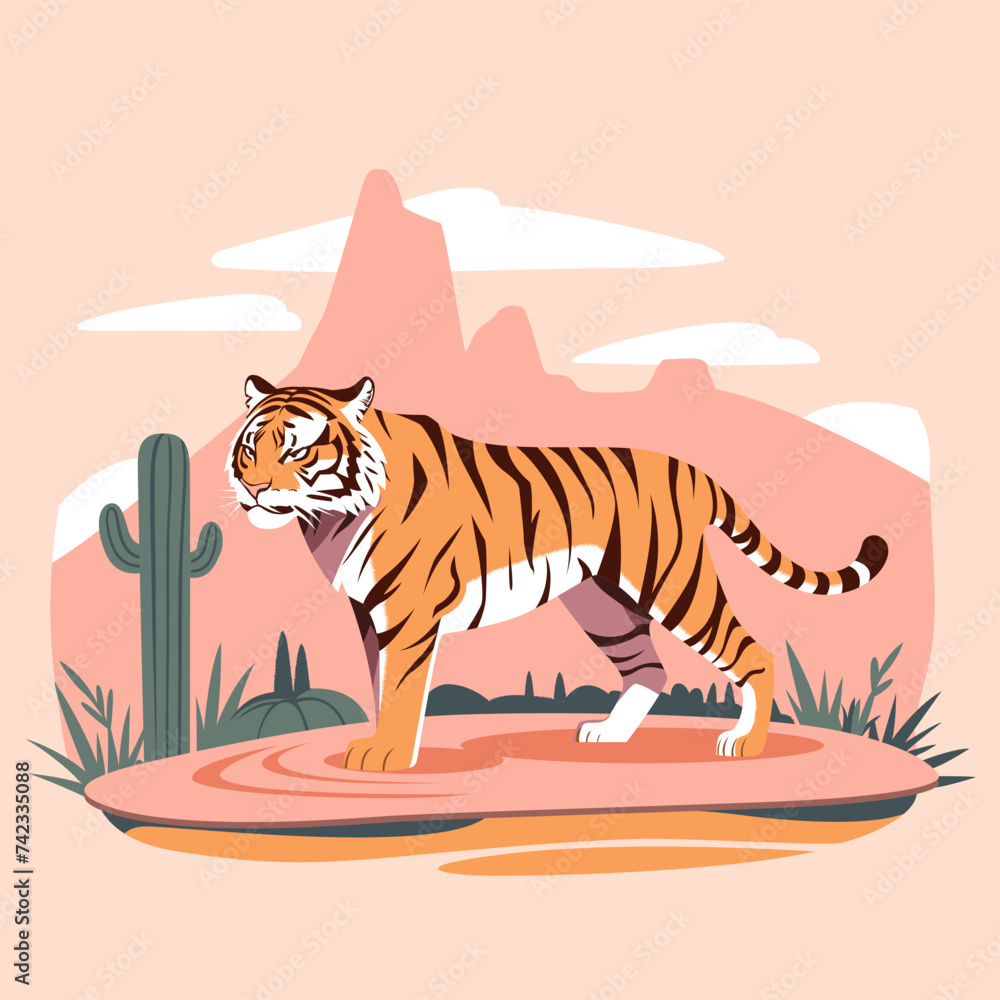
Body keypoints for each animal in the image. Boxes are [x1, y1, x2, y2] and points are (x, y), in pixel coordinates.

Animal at [228, 375, 889, 771]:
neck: (329, 519)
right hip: (602, 604)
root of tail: (690, 468)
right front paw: (373, 743)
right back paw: (610, 735)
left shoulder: (410, 613)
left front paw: (387, 755)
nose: (253, 488)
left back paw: (746, 743)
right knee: (650, 668)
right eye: (251, 448)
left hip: (675, 584)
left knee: (752, 652)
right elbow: (377, 684)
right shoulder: (369, 614)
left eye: (297, 450)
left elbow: (399, 688)